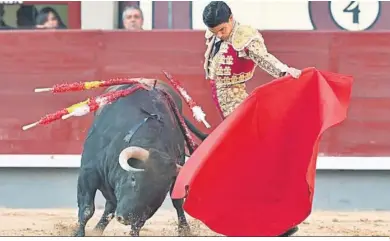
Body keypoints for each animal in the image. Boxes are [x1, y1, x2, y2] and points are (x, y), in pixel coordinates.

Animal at [73, 79, 207, 237]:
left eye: (158, 191)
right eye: (133, 178)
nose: (125, 218)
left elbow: (138, 222)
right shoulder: (88, 173)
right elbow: (87, 209)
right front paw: (78, 234)